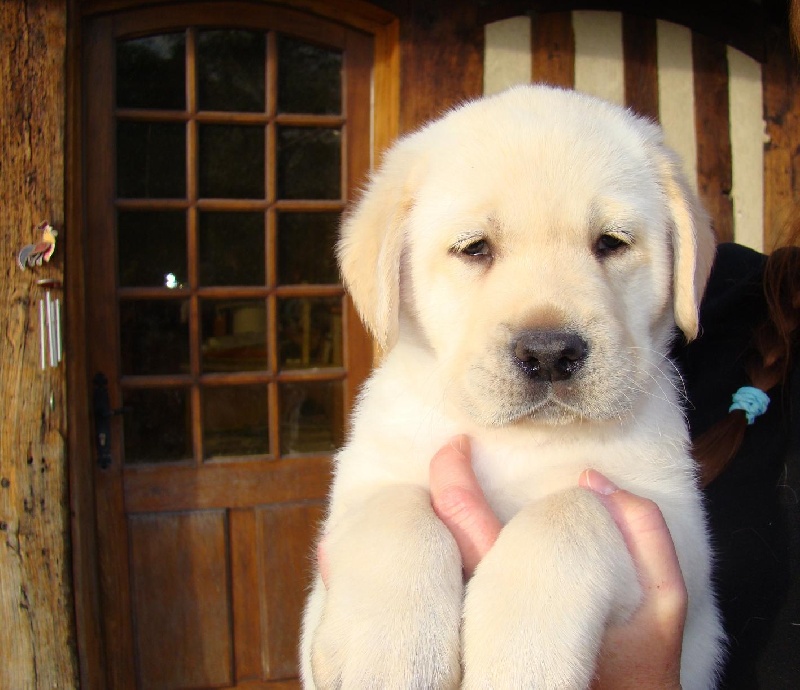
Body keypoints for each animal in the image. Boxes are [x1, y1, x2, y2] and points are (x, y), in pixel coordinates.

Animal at [301, 84, 724, 689]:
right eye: (475, 248)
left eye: (611, 243)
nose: (549, 353)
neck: (516, 440)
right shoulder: (358, 492)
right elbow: (397, 511)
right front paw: (396, 656)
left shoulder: (675, 523)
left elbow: (565, 513)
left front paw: (522, 661)